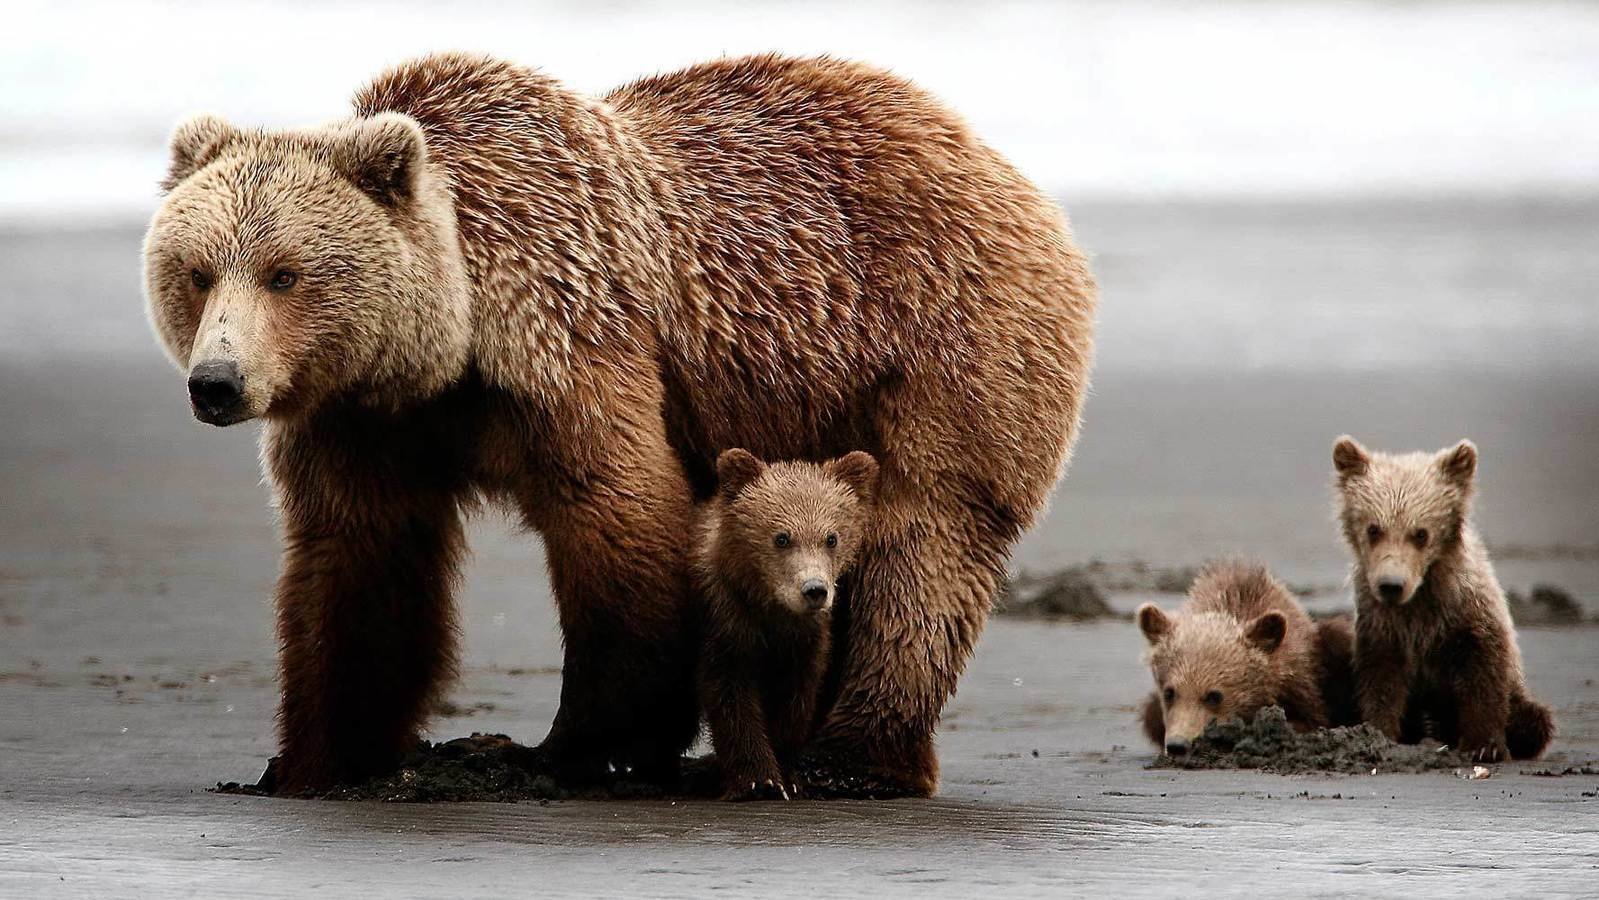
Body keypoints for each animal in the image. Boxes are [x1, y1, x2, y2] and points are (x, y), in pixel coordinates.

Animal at [695, 449, 878, 801]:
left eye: (831, 537)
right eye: (781, 538)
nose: (814, 590)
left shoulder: (806, 642)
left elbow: (796, 700)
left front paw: (788, 775)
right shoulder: (726, 623)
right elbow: (731, 699)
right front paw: (759, 780)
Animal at [1332, 436, 1554, 761]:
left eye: (1421, 533)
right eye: (1374, 529)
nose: (1391, 585)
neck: (1421, 600)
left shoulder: (1468, 614)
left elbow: (1484, 673)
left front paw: (1484, 746)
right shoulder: (1382, 625)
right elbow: (1380, 680)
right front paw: (1377, 732)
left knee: (1535, 718)